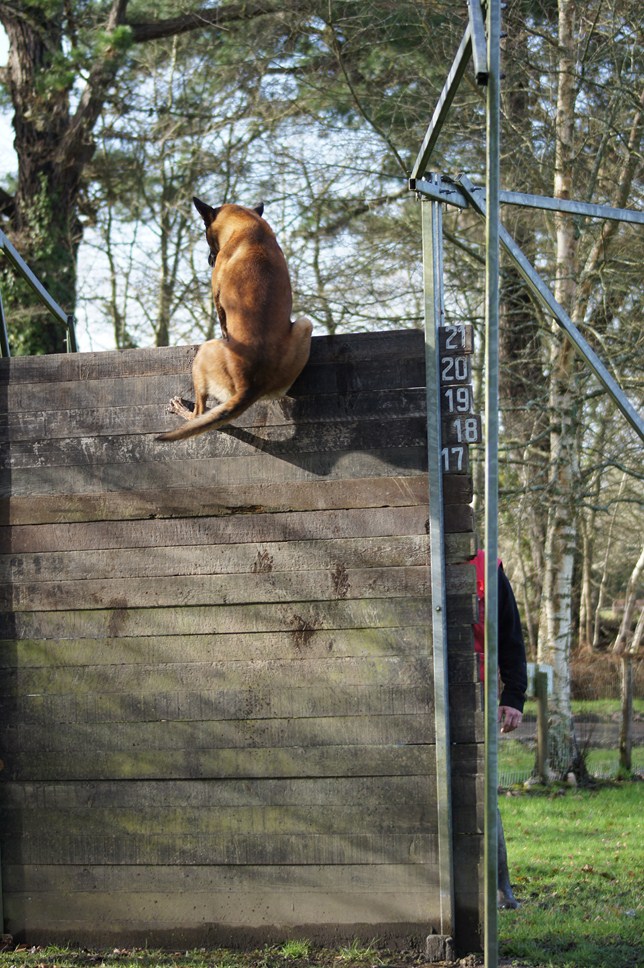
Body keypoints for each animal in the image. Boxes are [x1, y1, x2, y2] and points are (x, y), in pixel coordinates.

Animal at [158, 200, 314, 442]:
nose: (210, 260)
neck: (249, 225)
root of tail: (250, 385)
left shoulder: (217, 296)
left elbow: (222, 319)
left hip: (205, 352)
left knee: (199, 413)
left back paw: (182, 409)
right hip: (304, 325)